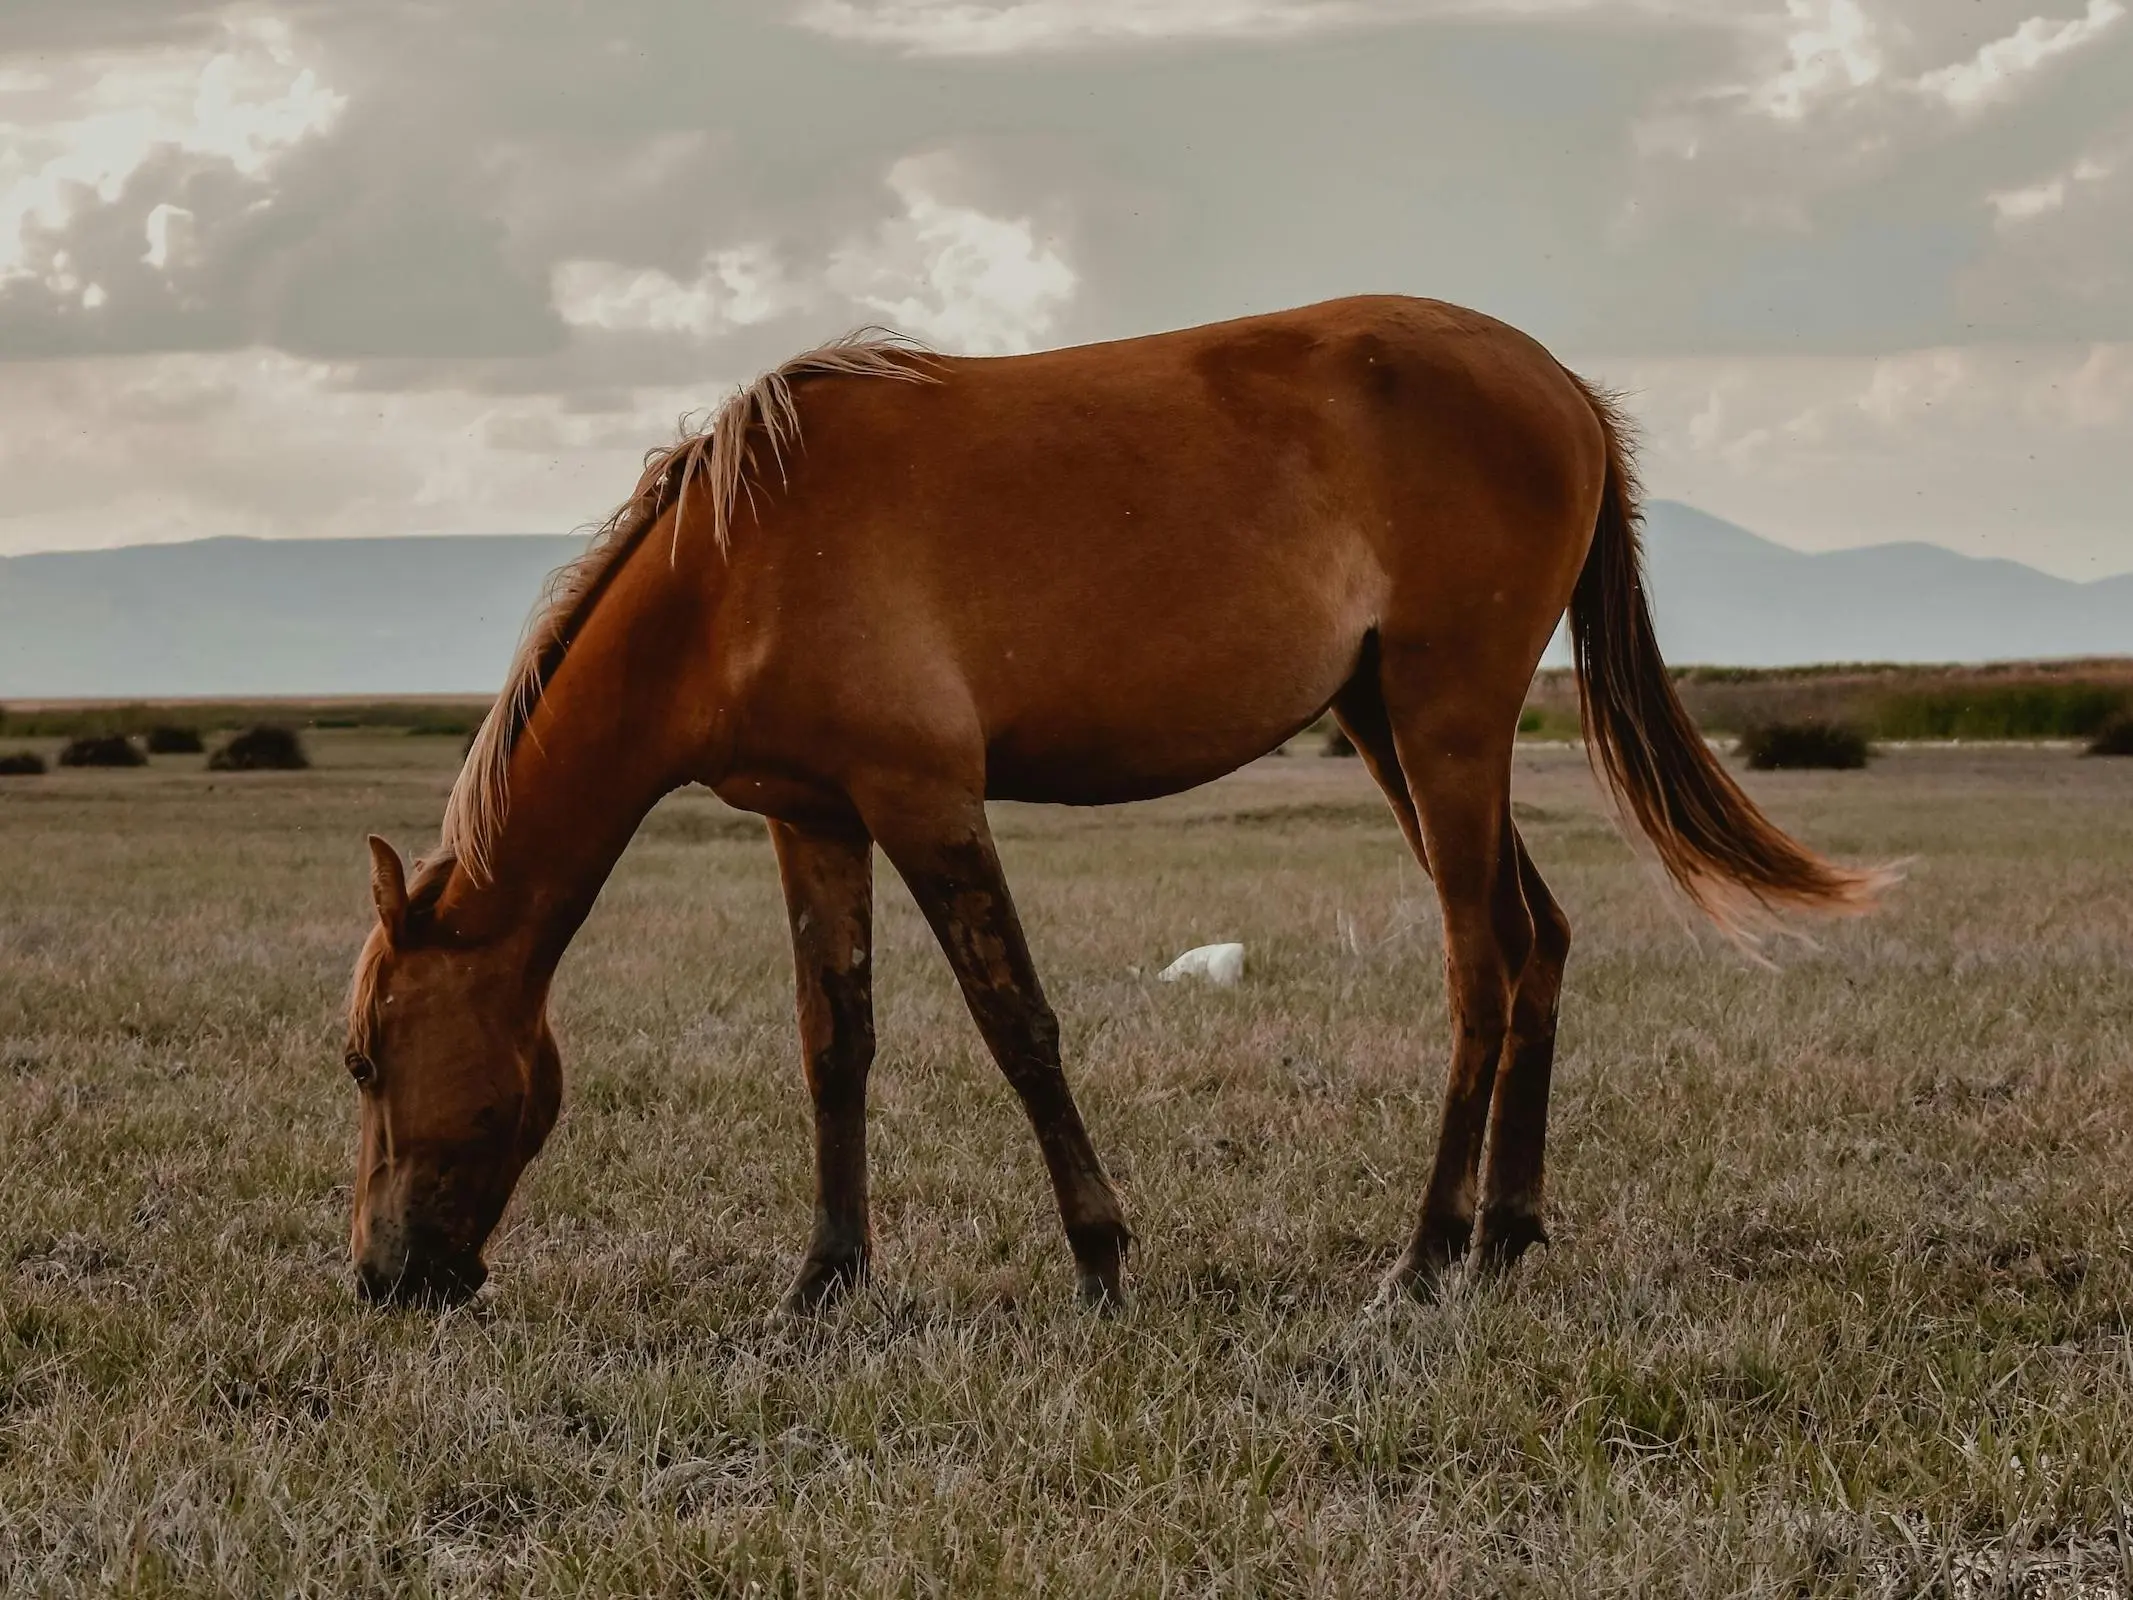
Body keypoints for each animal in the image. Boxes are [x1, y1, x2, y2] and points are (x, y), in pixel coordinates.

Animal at [341, 298, 1894, 1314]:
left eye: (361, 1062)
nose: (380, 1280)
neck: (737, 565)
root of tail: (1559, 382)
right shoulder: (815, 817)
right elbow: (833, 1042)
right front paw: (825, 1278)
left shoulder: (927, 799)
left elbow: (1017, 1024)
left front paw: (1099, 1253)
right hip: (1389, 725)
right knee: (1541, 940)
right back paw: (1505, 1231)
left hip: (1447, 724)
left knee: (1483, 967)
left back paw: (1425, 1250)